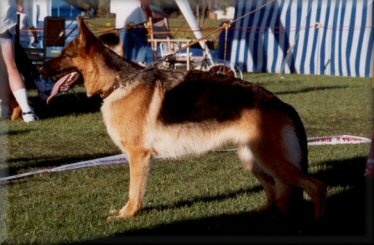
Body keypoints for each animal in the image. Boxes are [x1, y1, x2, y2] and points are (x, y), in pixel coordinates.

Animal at [41, 17, 326, 220]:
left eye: (64, 54)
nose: (39, 68)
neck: (118, 83)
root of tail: (282, 103)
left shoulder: (138, 157)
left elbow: (134, 192)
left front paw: (128, 214)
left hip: (271, 160)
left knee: (316, 186)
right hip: (253, 159)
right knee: (276, 190)